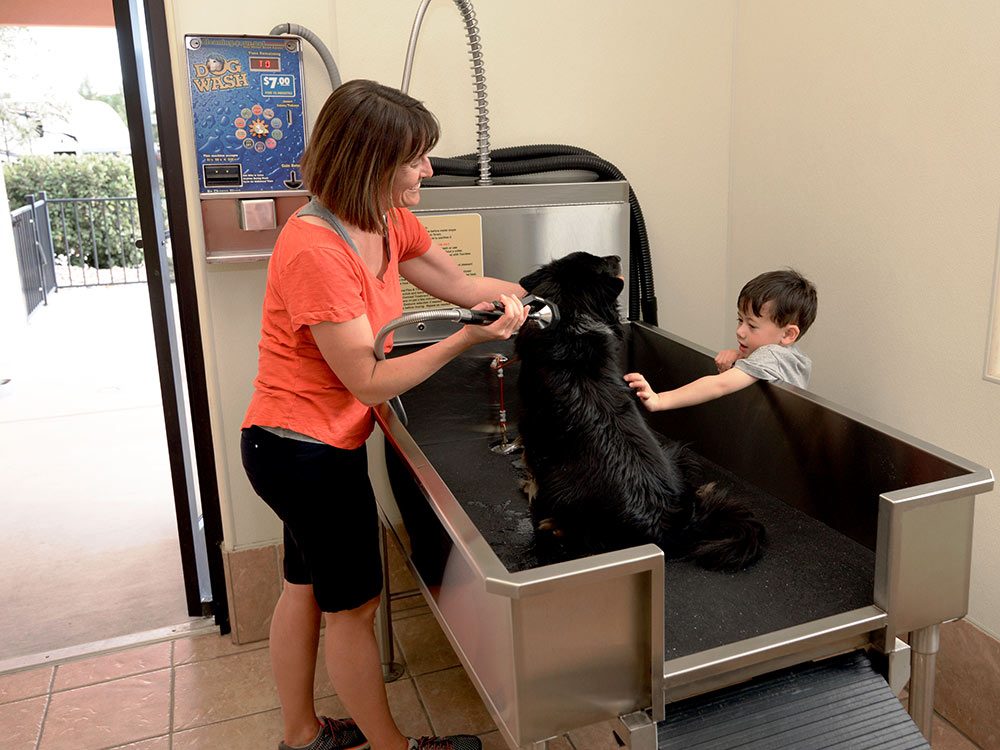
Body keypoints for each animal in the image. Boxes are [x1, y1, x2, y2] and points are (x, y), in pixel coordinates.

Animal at [516, 250, 764, 572]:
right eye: (602, 262)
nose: (618, 256)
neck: (571, 327)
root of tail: (673, 526)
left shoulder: (534, 439)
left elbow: (533, 476)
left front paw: (528, 491)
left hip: (563, 491)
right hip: (678, 454)